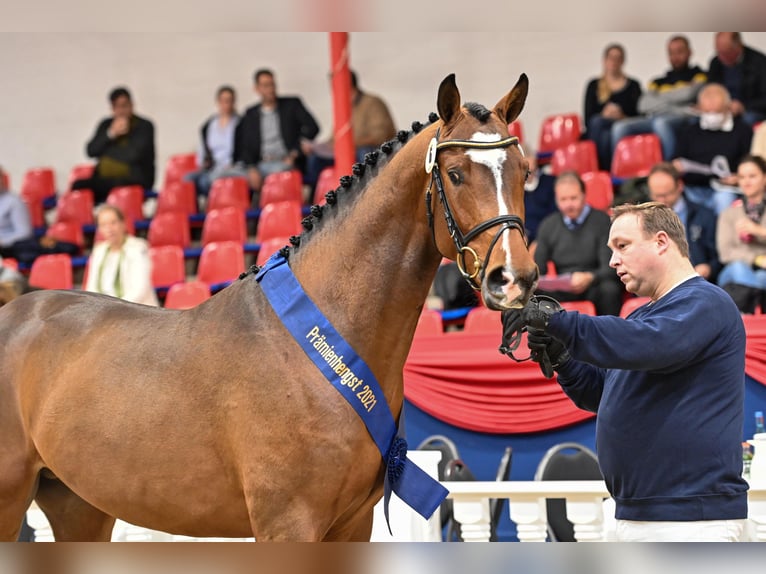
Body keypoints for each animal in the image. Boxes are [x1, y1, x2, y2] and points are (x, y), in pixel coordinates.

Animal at [0, 74, 540, 544]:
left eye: (524, 172)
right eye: (455, 174)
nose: (514, 278)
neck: (316, 346)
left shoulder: (351, 527)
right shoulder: (288, 525)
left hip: (78, 506)